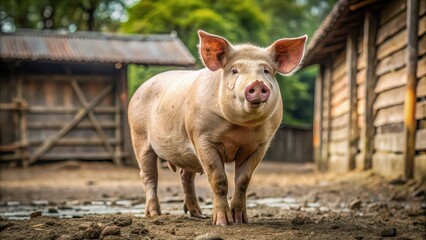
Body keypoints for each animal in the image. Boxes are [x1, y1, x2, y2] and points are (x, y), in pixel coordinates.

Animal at [126, 29, 306, 225]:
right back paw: (155, 214)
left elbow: (243, 180)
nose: (257, 83)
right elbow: (219, 179)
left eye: (266, 71)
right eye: (234, 70)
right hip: (139, 136)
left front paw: (241, 220)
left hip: (186, 153)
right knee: (149, 176)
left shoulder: (260, 145)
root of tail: (138, 90)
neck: (240, 128)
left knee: (185, 176)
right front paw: (222, 222)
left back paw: (198, 215)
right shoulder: (202, 137)